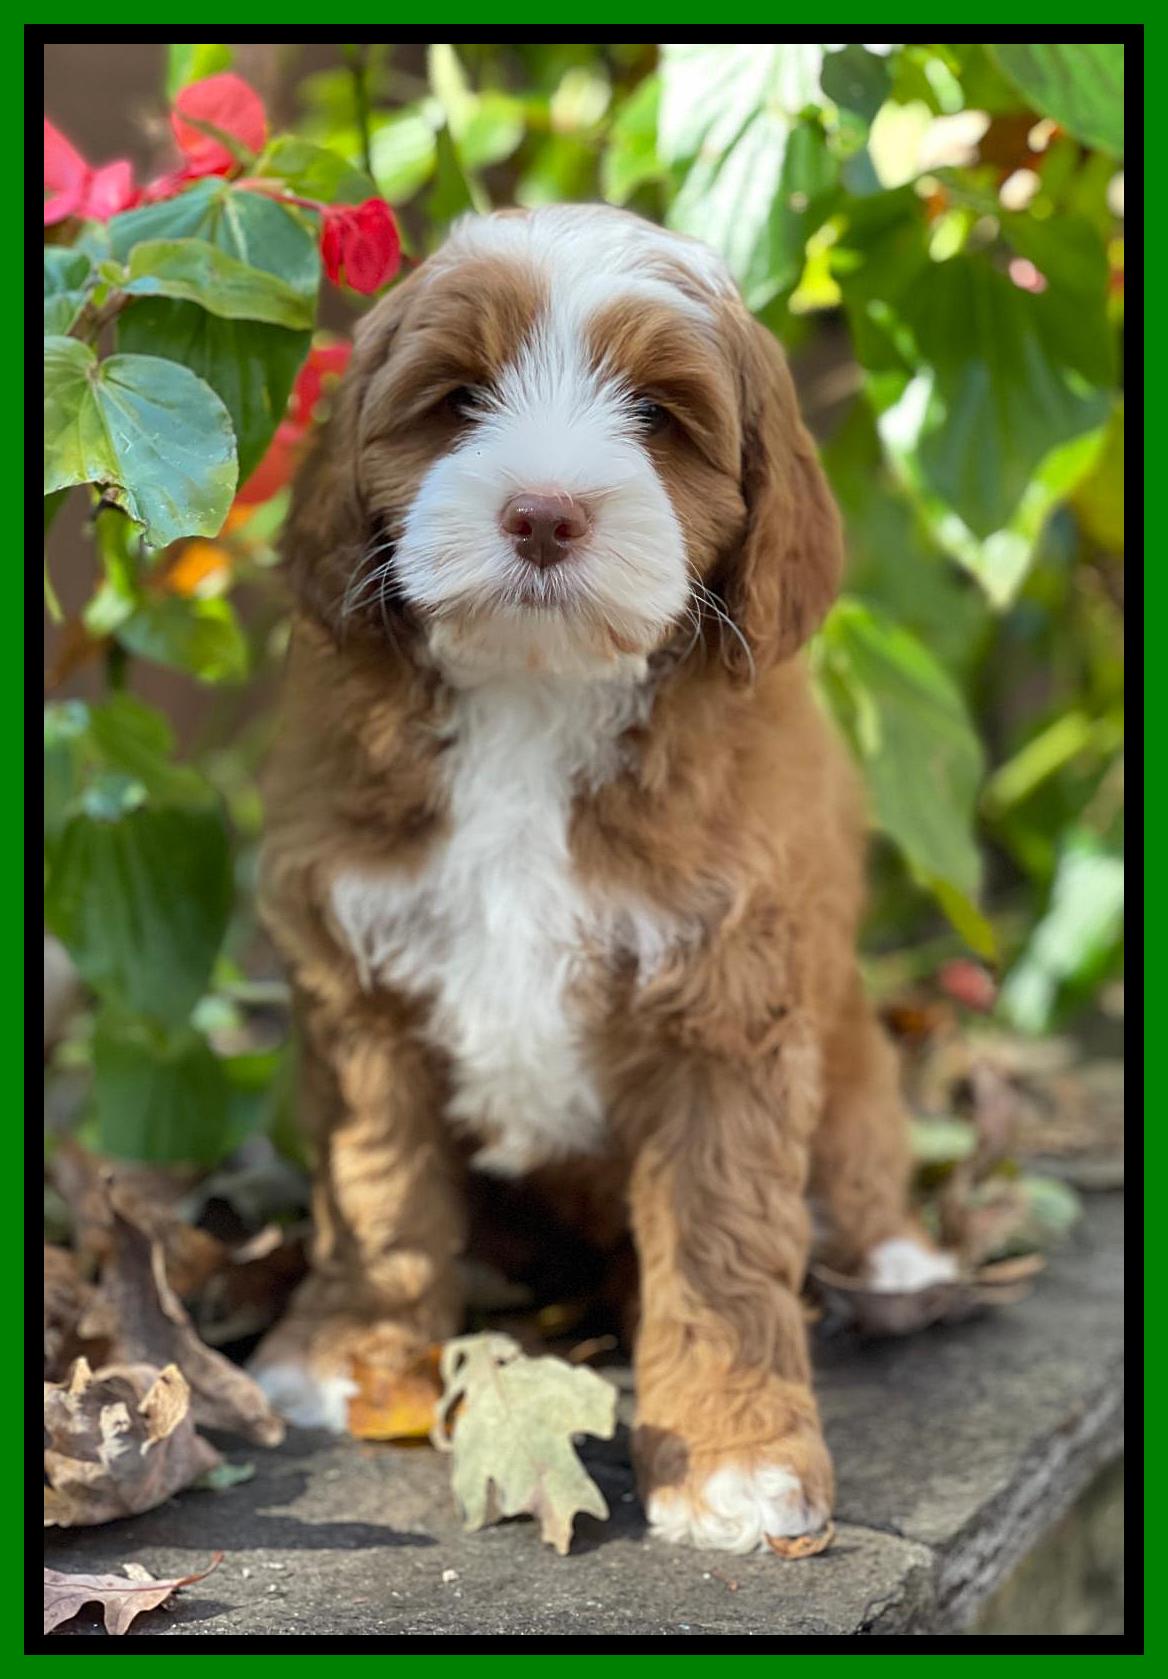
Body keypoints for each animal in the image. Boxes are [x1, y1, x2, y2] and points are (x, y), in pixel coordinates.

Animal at [252, 203, 957, 1554]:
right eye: (459, 399)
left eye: (657, 415)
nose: (541, 513)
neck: (535, 698)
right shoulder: (360, 982)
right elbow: (376, 1180)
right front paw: (347, 1353)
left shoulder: (725, 1002)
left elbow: (721, 1244)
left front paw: (735, 1459)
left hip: (847, 1051)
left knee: (855, 1157)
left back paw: (900, 1259)